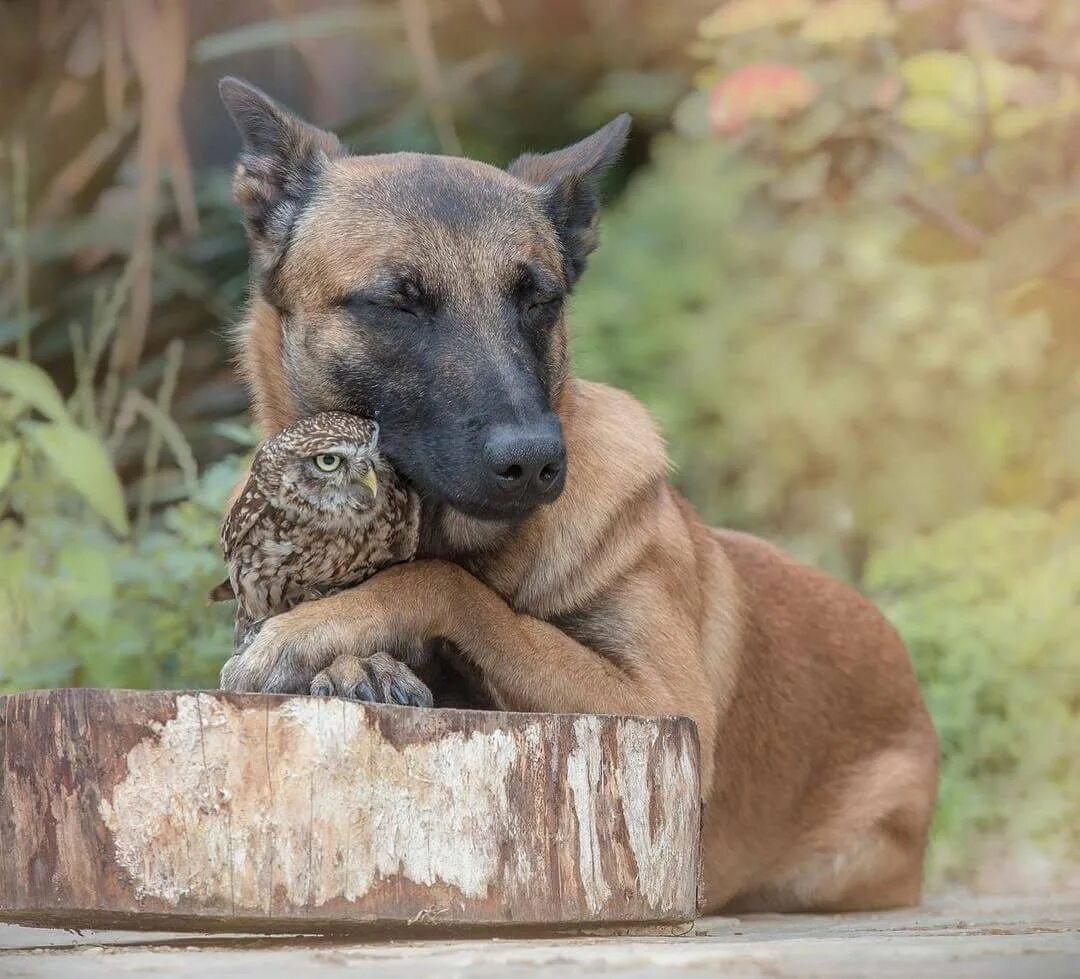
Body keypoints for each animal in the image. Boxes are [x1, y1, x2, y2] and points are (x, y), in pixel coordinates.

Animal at [217, 78, 937, 916]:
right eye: (398, 303)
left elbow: (449, 585)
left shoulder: (663, 703)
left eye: (538, 299)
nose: (533, 460)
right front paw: (351, 661)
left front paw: (319, 631)